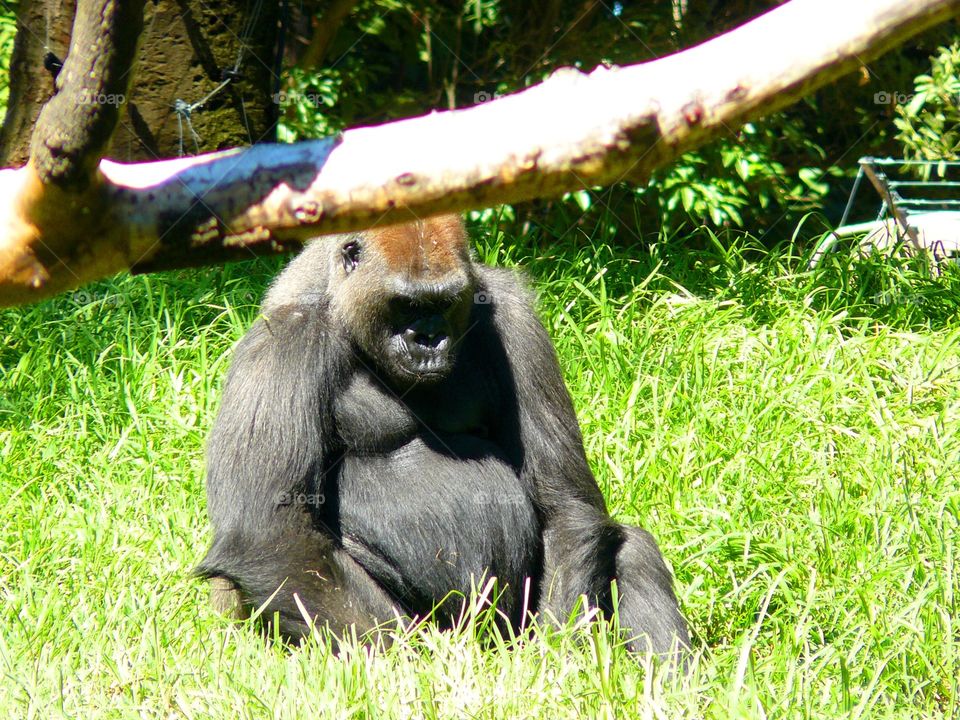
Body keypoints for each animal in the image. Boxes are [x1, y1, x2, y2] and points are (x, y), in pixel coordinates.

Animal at [197, 214, 688, 660]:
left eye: (447, 301)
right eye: (405, 304)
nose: (429, 339)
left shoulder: (514, 314)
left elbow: (566, 502)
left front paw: (557, 660)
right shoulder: (283, 339)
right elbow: (269, 533)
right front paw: (418, 667)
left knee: (630, 547)